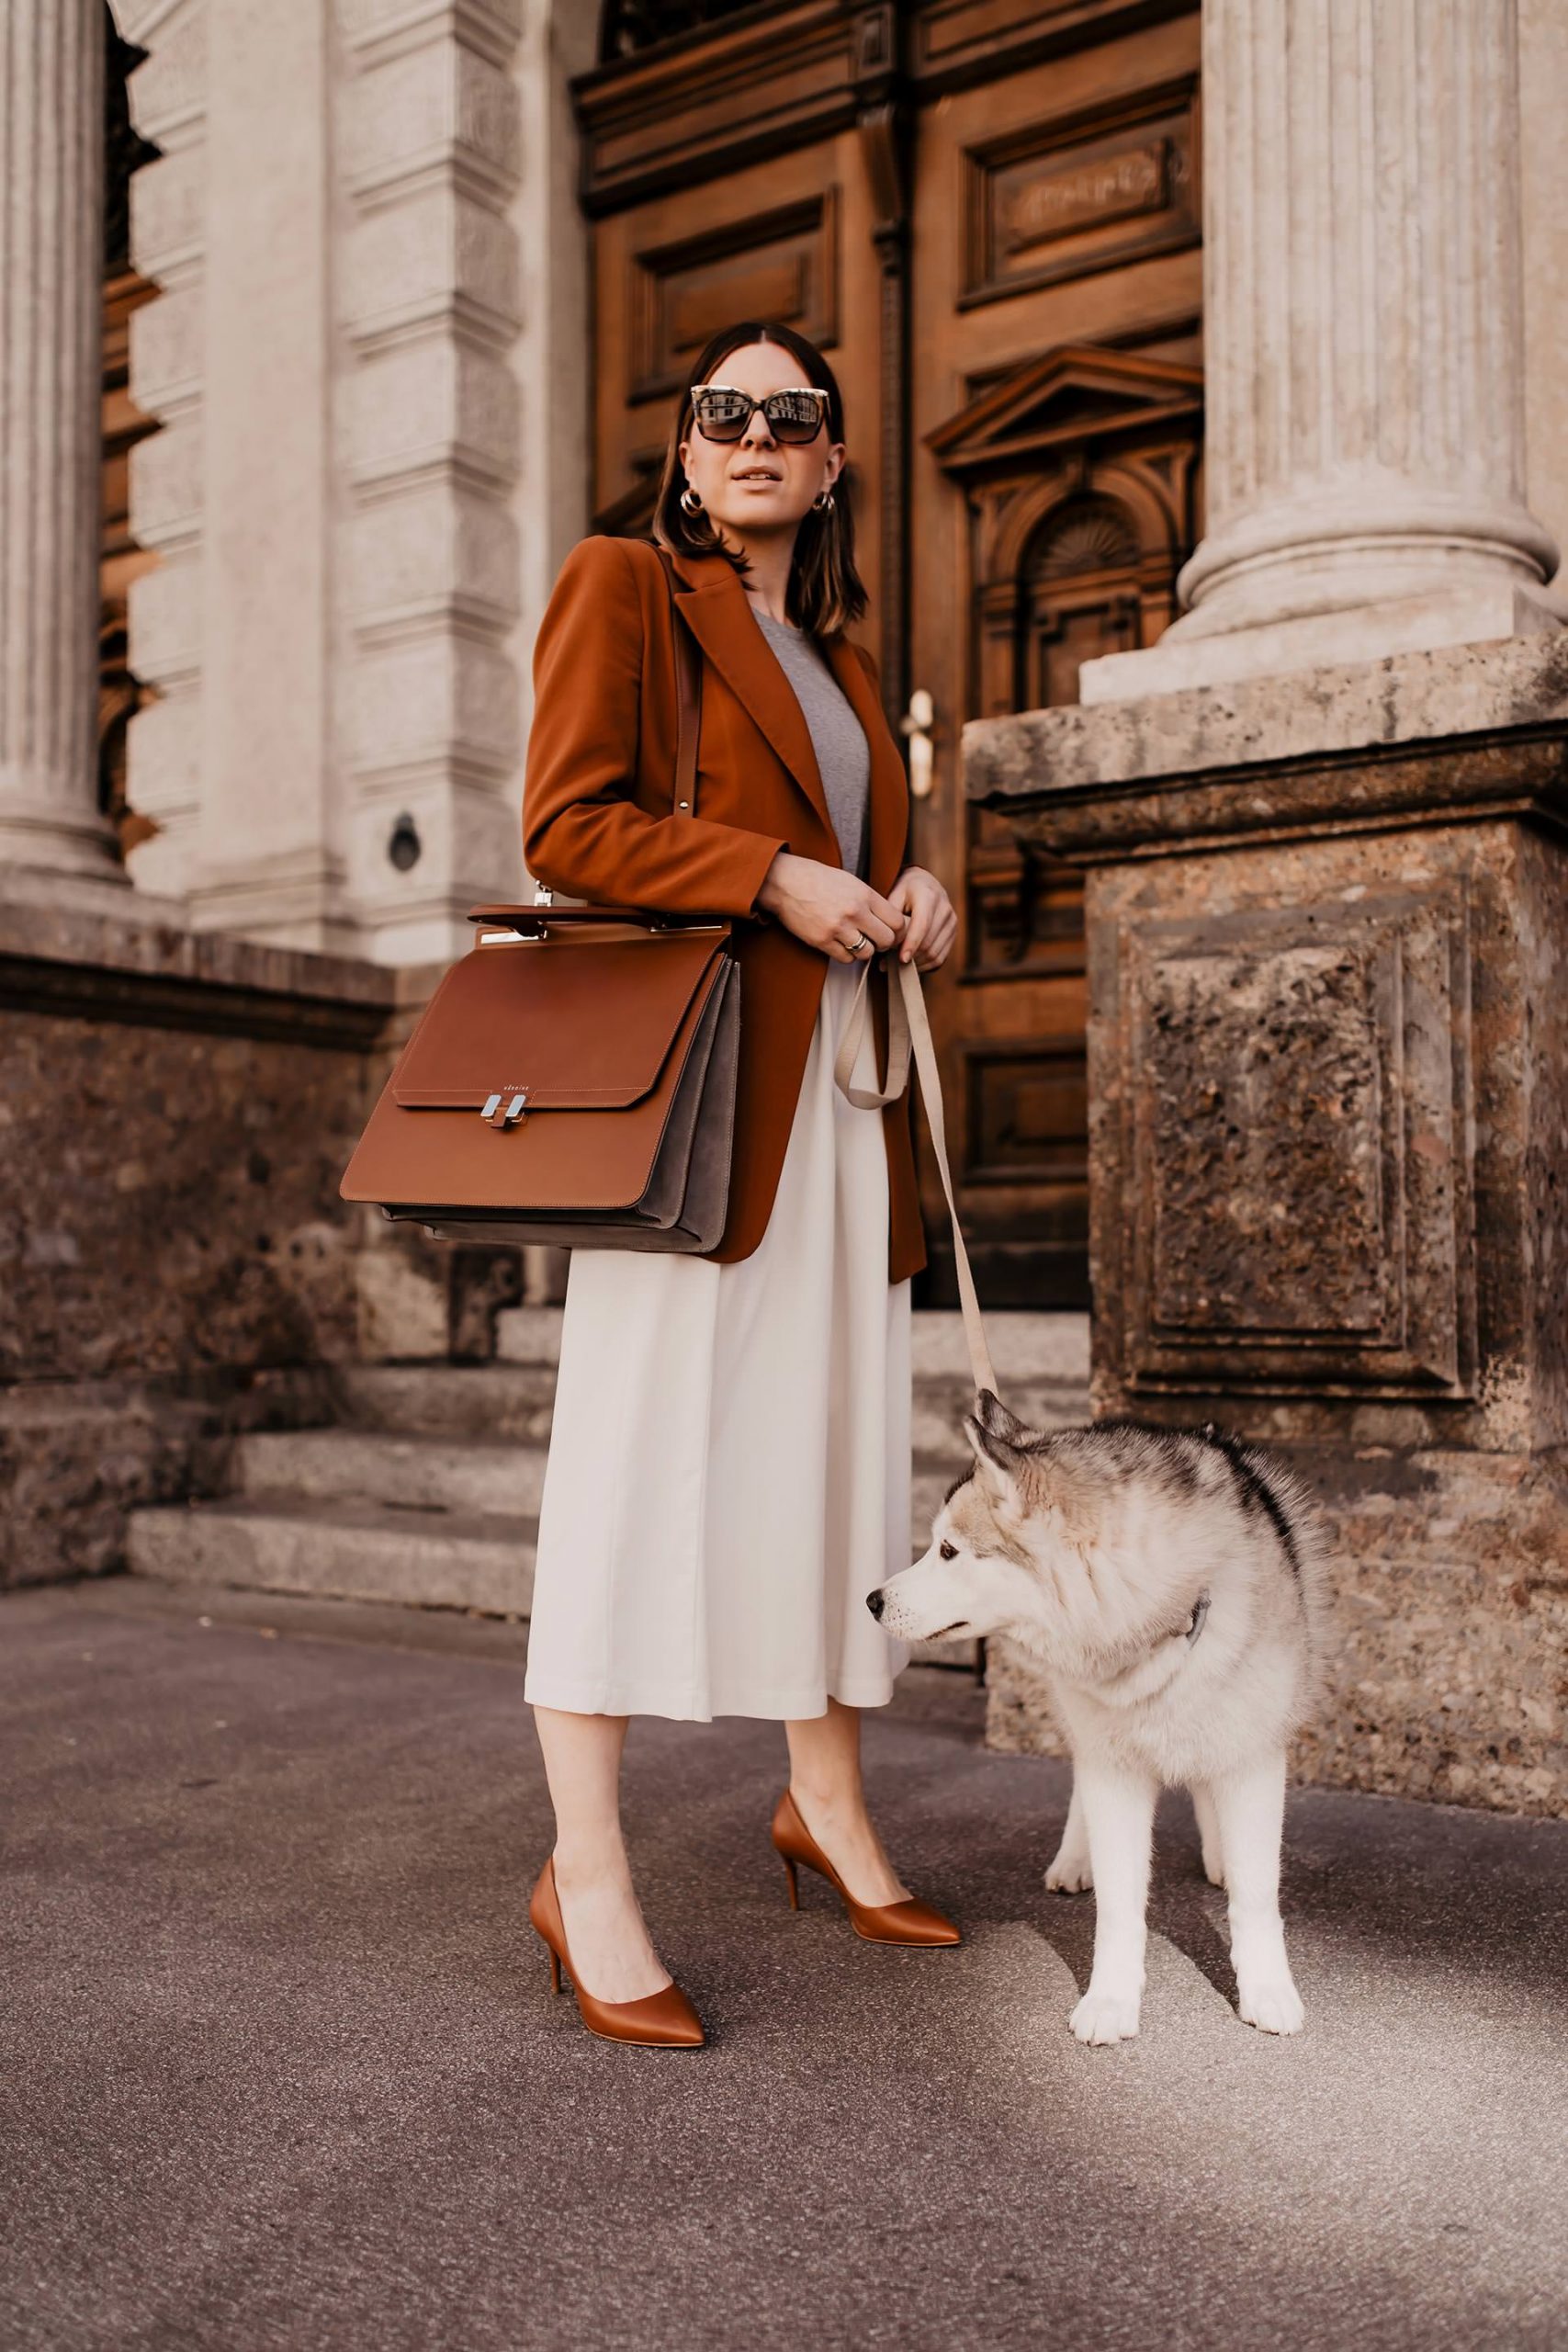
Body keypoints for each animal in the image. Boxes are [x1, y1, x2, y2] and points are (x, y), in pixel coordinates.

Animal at [864, 1392, 1335, 2041]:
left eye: (949, 1551)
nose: (872, 1600)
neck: (1157, 1630)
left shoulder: (1253, 1754)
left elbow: (1257, 1891)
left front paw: (1266, 1988)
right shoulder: (1112, 1767)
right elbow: (1118, 1902)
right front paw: (1110, 1999)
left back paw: (1218, 1856)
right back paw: (1074, 1858)